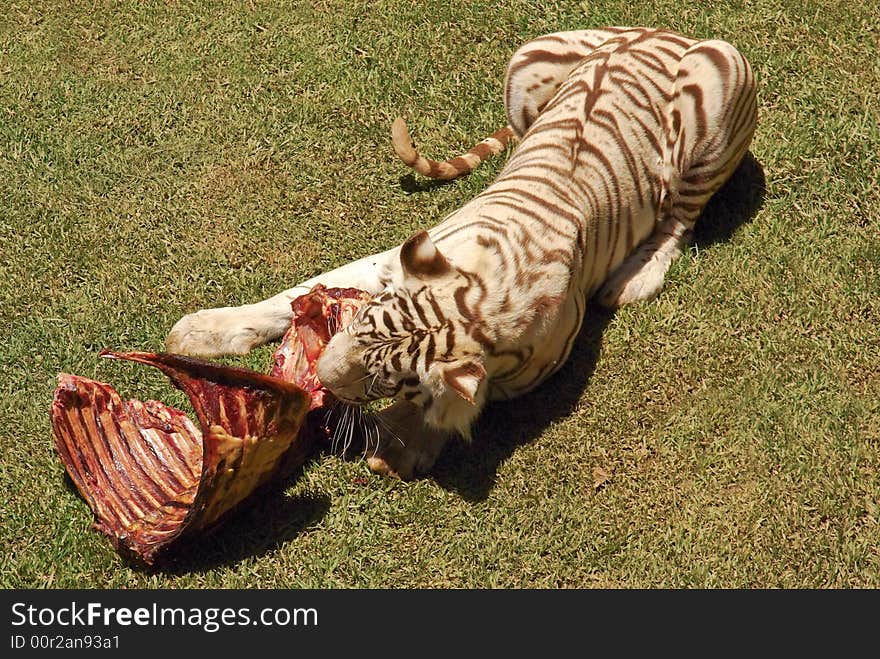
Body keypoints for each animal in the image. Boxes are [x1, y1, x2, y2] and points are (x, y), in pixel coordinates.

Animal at [165, 27, 756, 480]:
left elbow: (460, 398)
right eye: (357, 323)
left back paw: (634, 277)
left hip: (719, 93)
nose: (323, 383)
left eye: (382, 380)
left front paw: (404, 440)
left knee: (680, 221)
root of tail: (668, 32)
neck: (484, 295)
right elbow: (294, 293)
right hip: (525, 65)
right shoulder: (387, 266)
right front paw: (201, 331)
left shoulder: (535, 364)